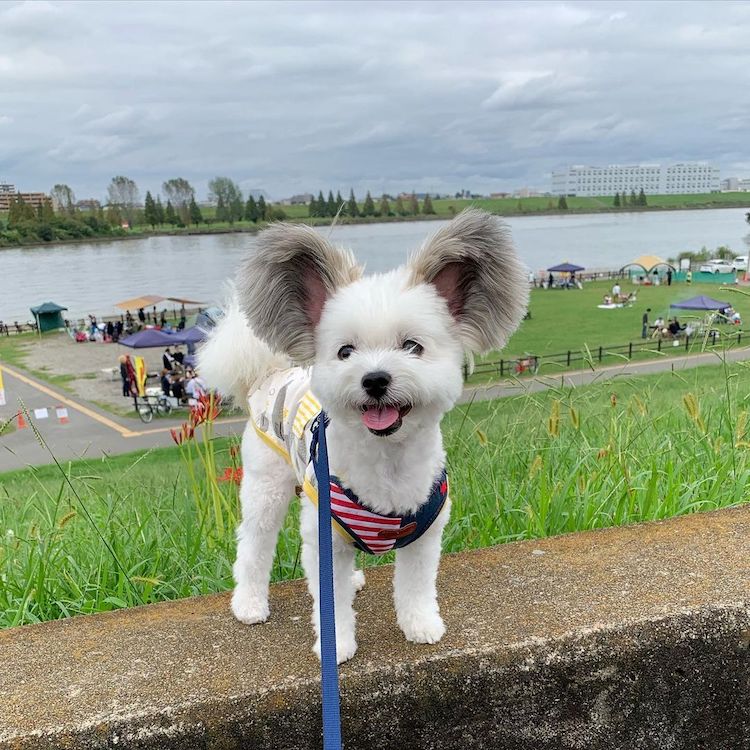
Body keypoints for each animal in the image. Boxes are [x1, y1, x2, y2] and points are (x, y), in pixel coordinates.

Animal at [200, 210, 528, 664]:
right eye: (345, 352)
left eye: (412, 346)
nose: (374, 379)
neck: (386, 461)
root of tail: (270, 374)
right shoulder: (323, 538)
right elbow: (330, 600)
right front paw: (336, 645)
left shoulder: (425, 536)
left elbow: (415, 586)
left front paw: (420, 625)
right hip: (266, 486)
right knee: (254, 544)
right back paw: (249, 603)